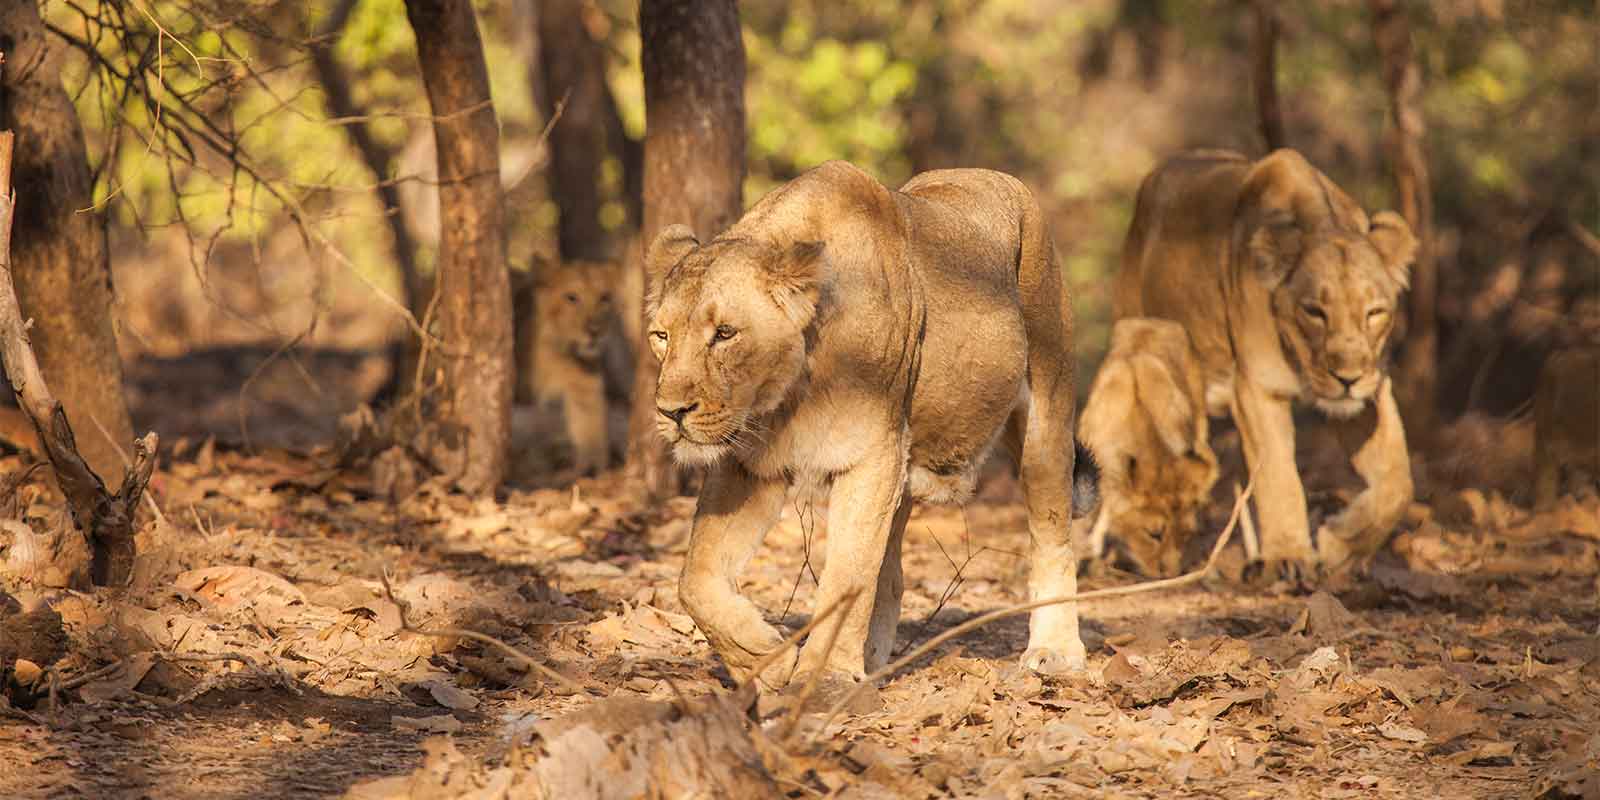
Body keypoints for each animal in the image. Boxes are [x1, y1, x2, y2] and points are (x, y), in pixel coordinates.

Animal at [511, 258, 631, 475]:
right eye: (572, 298)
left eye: (605, 298)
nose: (594, 331)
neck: (559, 355)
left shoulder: (585, 388)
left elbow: (590, 427)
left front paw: (592, 469)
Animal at [644, 161, 1088, 692]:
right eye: (661, 335)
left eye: (726, 333)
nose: (670, 412)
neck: (786, 393)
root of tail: (995, 175)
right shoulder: (750, 464)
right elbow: (696, 579)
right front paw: (765, 659)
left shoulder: (872, 453)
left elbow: (848, 575)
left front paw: (824, 679)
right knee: (891, 567)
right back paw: (876, 663)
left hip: (1046, 409)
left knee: (1052, 533)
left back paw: (1056, 651)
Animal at [1114, 148, 1418, 573]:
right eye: (1314, 311)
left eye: (1374, 312)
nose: (1348, 377)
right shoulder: (1259, 388)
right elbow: (1279, 474)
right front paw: (1289, 555)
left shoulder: (1370, 391)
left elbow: (1398, 482)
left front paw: (1341, 548)